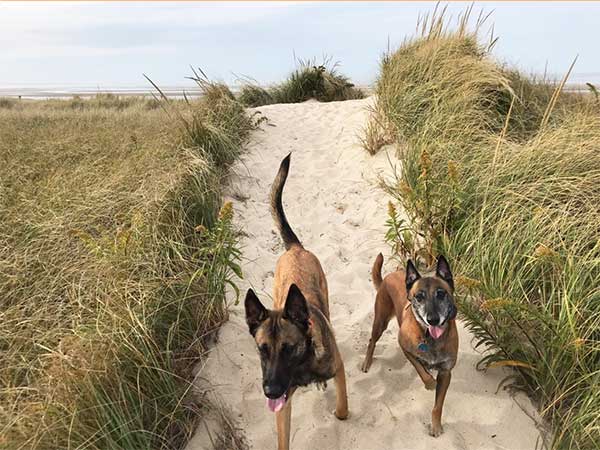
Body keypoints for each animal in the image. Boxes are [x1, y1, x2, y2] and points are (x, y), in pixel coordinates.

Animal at [243, 155, 346, 450]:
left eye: (288, 348)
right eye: (262, 349)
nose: (270, 391)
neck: (303, 363)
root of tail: (295, 248)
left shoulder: (339, 371)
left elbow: (342, 409)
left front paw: (340, 413)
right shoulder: (282, 404)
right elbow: (282, 438)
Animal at [360, 255, 460, 438]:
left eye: (441, 294)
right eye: (419, 297)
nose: (433, 320)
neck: (430, 338)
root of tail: (388, 276)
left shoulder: (445, 373)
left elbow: (438, 406)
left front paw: (436, 426)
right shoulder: (405, 348)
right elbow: (421, 370)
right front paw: (430, 383)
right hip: (380, 322)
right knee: (372, 341)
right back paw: (366, 363)